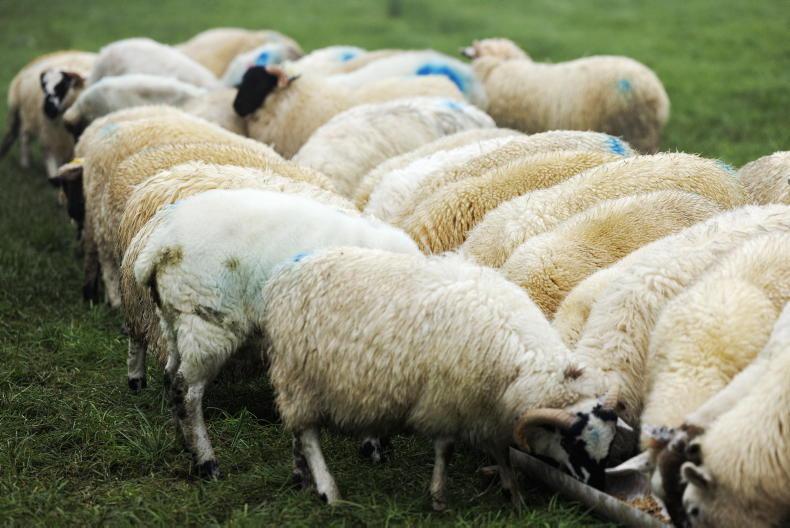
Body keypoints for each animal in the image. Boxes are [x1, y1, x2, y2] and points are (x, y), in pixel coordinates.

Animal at [131, 189, 420, 478]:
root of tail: (158, 245)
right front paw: (375, 447)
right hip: (206, 321)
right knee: (186, 391)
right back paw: (206, 462)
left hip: (172, 317)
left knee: (170, 376)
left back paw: (185, 444)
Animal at [262, 247, 623, 507]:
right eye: (573, 444)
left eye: (608, 444)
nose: (598, 487)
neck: (520, 353)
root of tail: (286, 271)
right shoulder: (446, 400)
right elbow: (445, 450)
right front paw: (438, 498)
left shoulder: (487, 407)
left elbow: (501, 451)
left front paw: (514, 495)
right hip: (298, 376)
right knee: (308, 434)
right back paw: (329, 491)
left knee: (296, 432)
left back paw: (301, 475)